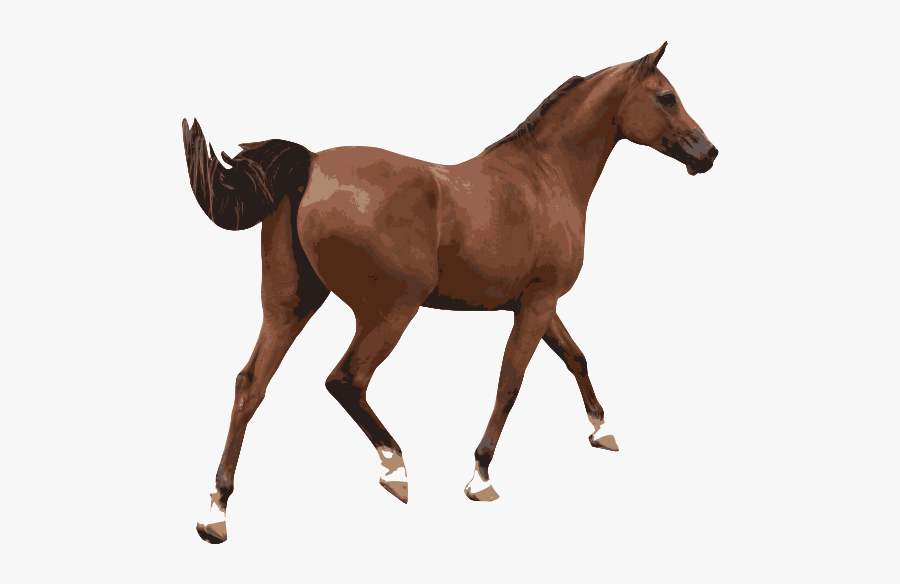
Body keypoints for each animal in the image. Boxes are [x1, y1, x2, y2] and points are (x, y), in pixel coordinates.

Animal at [184, 42, 718, 544]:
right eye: (666, 96)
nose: (708, 153)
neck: (545, 177)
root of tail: (311, 165)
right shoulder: (539, 302)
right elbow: (511, 382)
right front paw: (480, 476)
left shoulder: (537, 303)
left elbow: (576, 358)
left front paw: (602, 430)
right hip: (390, 312)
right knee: (345, 381)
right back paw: (395, 469)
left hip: (290, 306)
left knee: (250, 385)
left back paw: (217, 513)